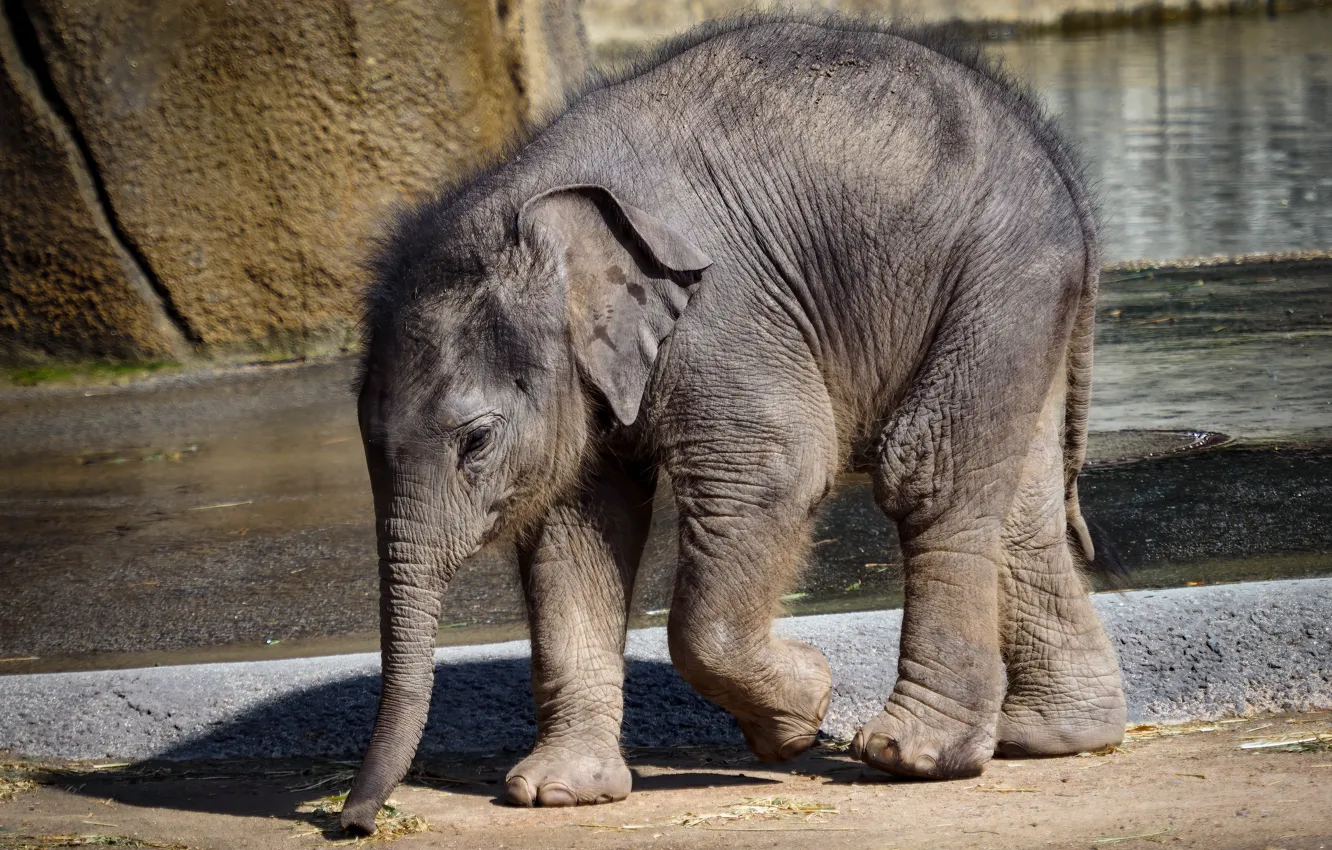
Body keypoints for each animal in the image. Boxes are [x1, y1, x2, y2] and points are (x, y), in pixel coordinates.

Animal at [340, 14, 1127, 833]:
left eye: (478, 441)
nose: (354, 823)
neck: (533, 201)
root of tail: (1058, 160)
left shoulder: (724, 312)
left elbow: (777, 469)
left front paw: (801, 711)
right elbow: (574, 529)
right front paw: (558, 792)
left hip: (999, 279)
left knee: (928, 473)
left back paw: (907, 754)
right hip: (1021, 300)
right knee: (1022, 506)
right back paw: (1052, 736)